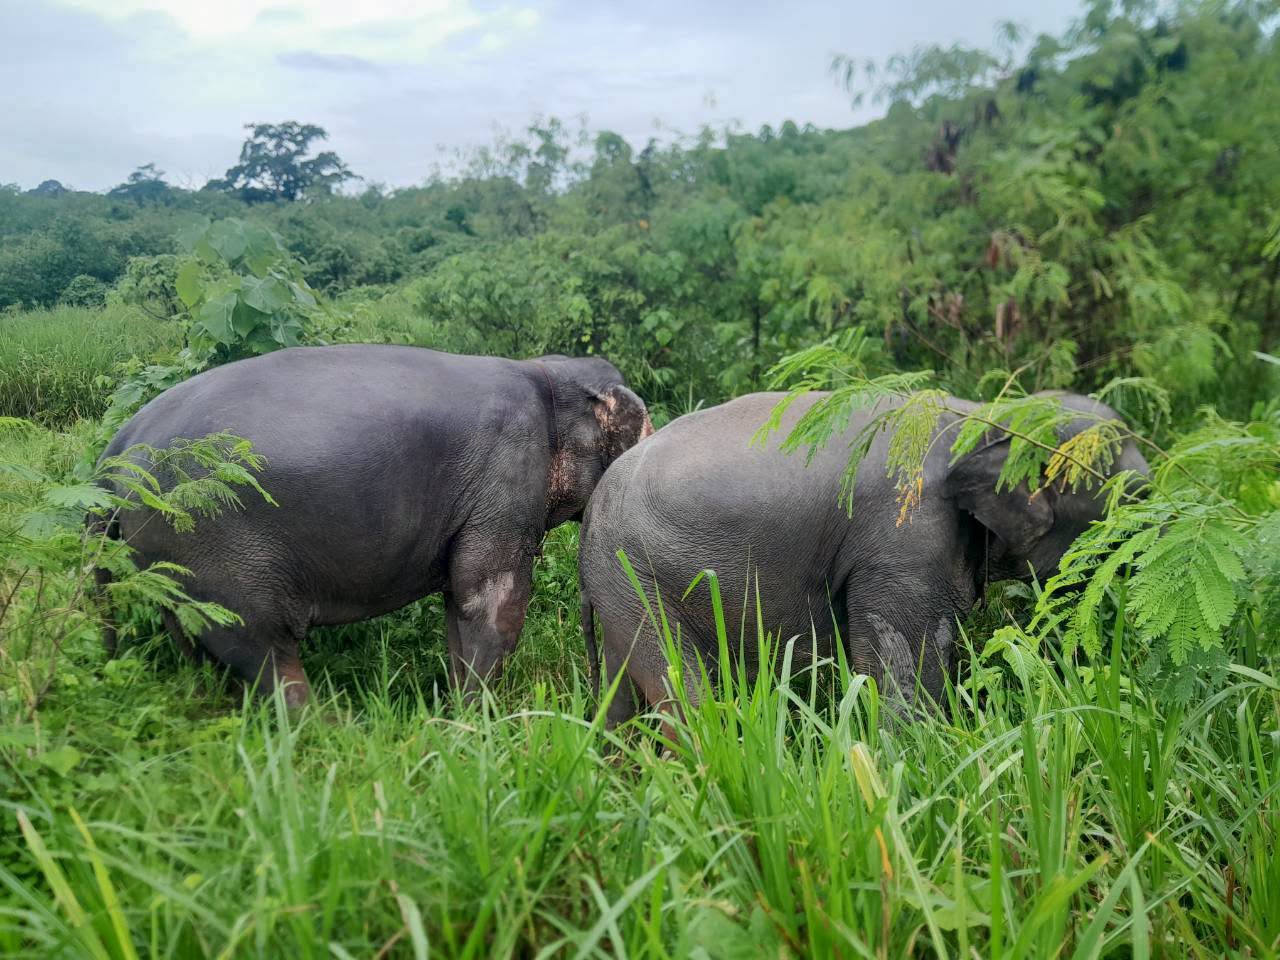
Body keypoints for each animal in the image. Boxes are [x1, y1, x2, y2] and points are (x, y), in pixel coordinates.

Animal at [97, 344, 652, 706]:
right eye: (645, 429)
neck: (547, 376)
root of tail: (115, 451)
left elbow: (458, 605)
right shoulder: (507, 481)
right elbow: (491, 603)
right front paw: (477, 721)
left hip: (171, 558)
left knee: (193, 639)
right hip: (217, 552)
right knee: (263, 649)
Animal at [578, 390, 1147, 727]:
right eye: (1131, 500)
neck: (987, 417)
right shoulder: (906, 539)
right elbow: (904, 666)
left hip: (618, 586)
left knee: (620, 687)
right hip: (633, 575)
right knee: (681, 688)